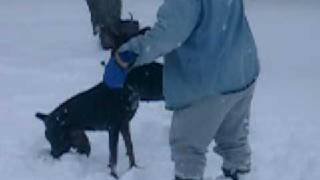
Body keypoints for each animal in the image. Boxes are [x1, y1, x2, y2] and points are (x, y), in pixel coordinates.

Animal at [36, 62, 164, 179]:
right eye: (157, 73)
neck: (126, 90)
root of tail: (47, 117)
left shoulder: (124, 125)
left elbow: (130, 148)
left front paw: (133, 168)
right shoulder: (114, 128)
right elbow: (114, 157)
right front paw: (114, 175)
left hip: (80, 143)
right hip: (59, 145)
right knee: (54, 154)